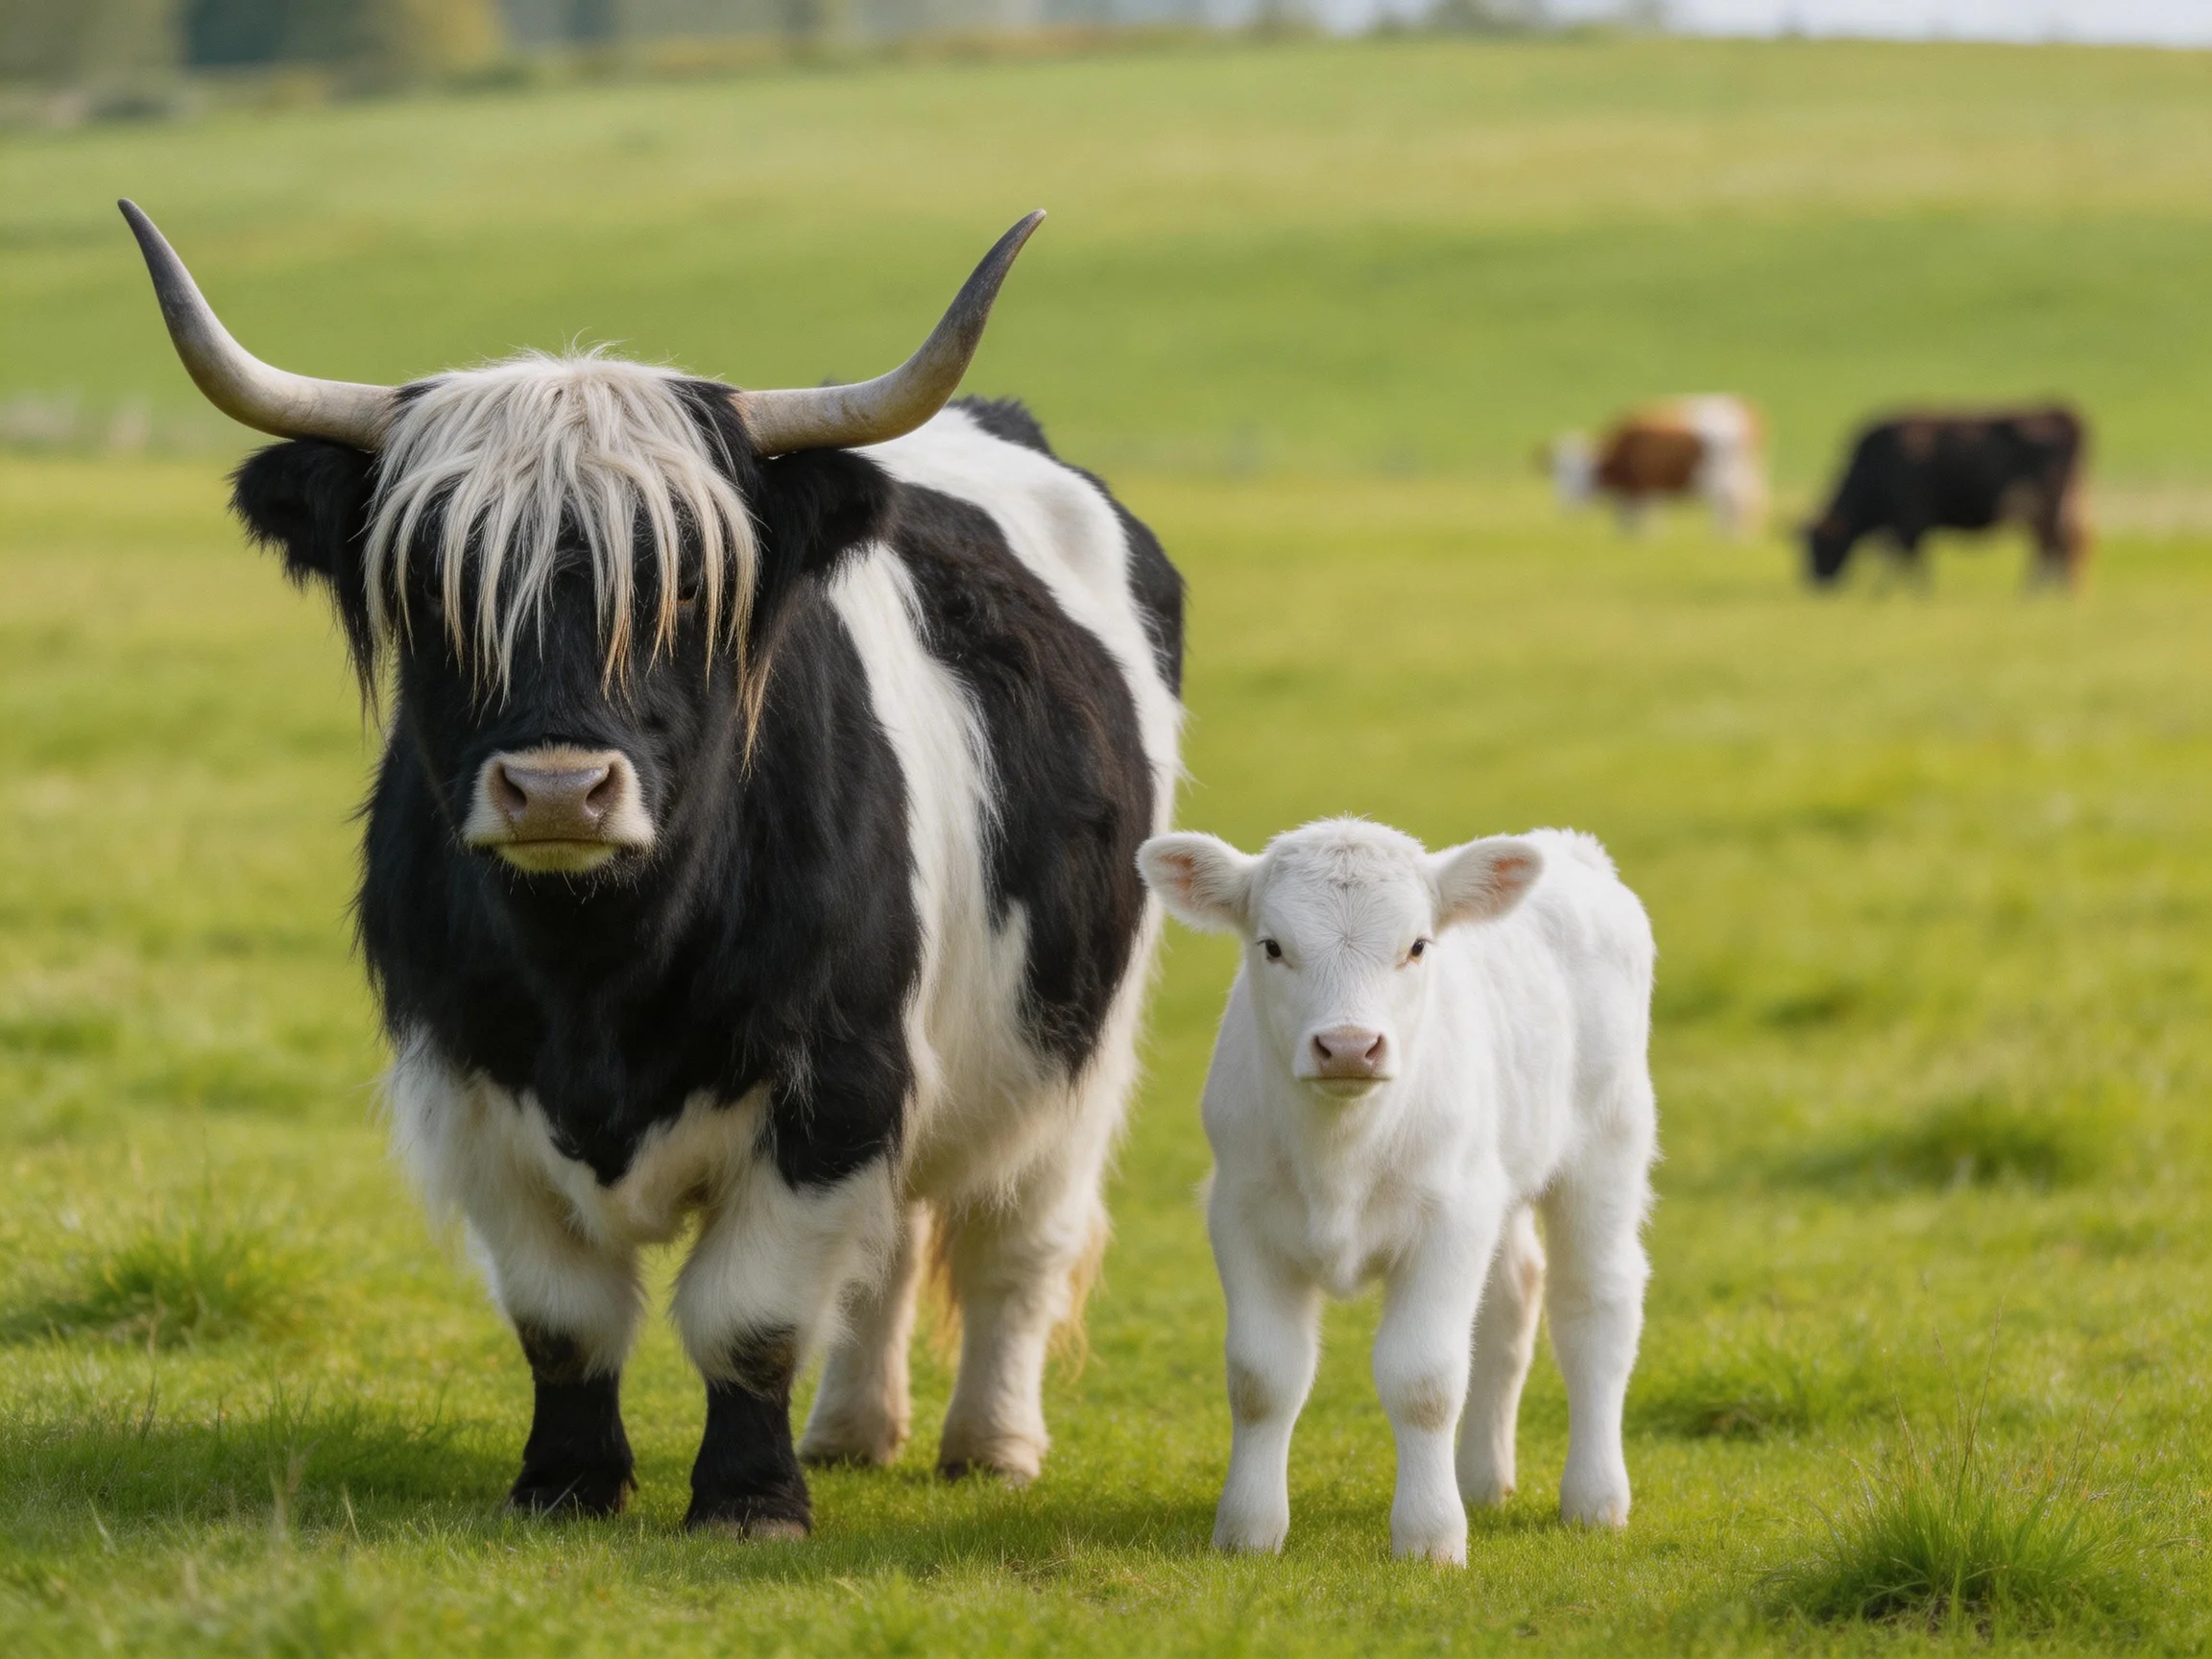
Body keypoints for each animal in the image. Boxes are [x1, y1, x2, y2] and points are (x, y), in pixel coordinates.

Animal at [121, 201, 1183, 1538]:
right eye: (432, 585)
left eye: (684, 584)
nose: (557, 790)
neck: (599, 978)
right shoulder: (471, 1092)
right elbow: (563, 1317)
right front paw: (567, 1483)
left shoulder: (833, 1085)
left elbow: (751, 1313)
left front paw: (747, 1500)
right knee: (887, 1256)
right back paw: (852, 1432)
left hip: (1073, 1056)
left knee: (1014, 1246)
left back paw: (989, 1444)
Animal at [1136, 819, 1657, 1565]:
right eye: (1272, 945)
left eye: (1416, 945)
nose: (1350, 1046)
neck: (1342, 1154)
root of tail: (1568, 848)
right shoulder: (1242, 1216)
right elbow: (1262, 1378)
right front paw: (1247, 1531)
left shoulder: (1448, 1222)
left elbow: (1424, 1380)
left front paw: (1431, 1537)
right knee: (1511, 1301)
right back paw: (1482, 1479)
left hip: (1607, 1144)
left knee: (1595, 1305)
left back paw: (1594, 1498)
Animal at [1545, 395, 1768, 539]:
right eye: (1558, 471)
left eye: (1582, 472)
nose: (1565, 501)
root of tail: (1744, 409)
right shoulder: (1639, 488)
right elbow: (1633, 516)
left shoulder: (1642, 485)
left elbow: (1644, 517)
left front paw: (1645, 539)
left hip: (1724, 480)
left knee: (1731, 504)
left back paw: (1723, 538)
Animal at [1805, 406, 2090, 589]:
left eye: (1821, 544)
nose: (1814, 582)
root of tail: (2062, 413)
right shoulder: (1901, 528)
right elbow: (1900, 562)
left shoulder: (1911, 520)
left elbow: (1912, 564)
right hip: (2037, 510)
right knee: (2052, 548)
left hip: (2044, 506)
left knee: (2058, 547)